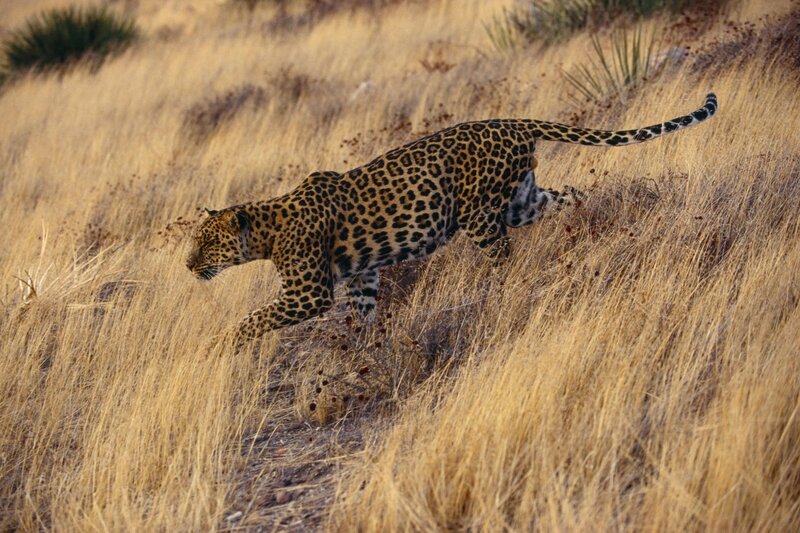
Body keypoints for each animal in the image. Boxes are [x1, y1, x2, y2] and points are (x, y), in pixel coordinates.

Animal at [186, 92, 718, 344]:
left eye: (207, 243)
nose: (189, 266)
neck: (266, 230)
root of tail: (512, 121)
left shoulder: (307, 293)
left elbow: (255, 319)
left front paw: (222, 346)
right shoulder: (362, 276)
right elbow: (362, 314)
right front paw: (361, 349)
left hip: (479, 215)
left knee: (504, 258)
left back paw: (502, 293)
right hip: (522, 201)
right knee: (570, 195)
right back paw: (593, 225)